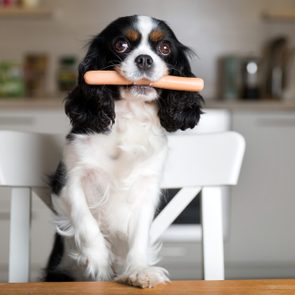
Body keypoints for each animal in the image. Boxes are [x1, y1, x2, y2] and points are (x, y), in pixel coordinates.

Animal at [44, 15, 204, 288]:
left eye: (164, 48)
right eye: (121, 45)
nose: (145, 59)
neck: (129, 115)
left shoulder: (146, 188)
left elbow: (139, 236)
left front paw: (139, 270)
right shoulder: (68, 179)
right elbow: (85, 219)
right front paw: (98, 260)